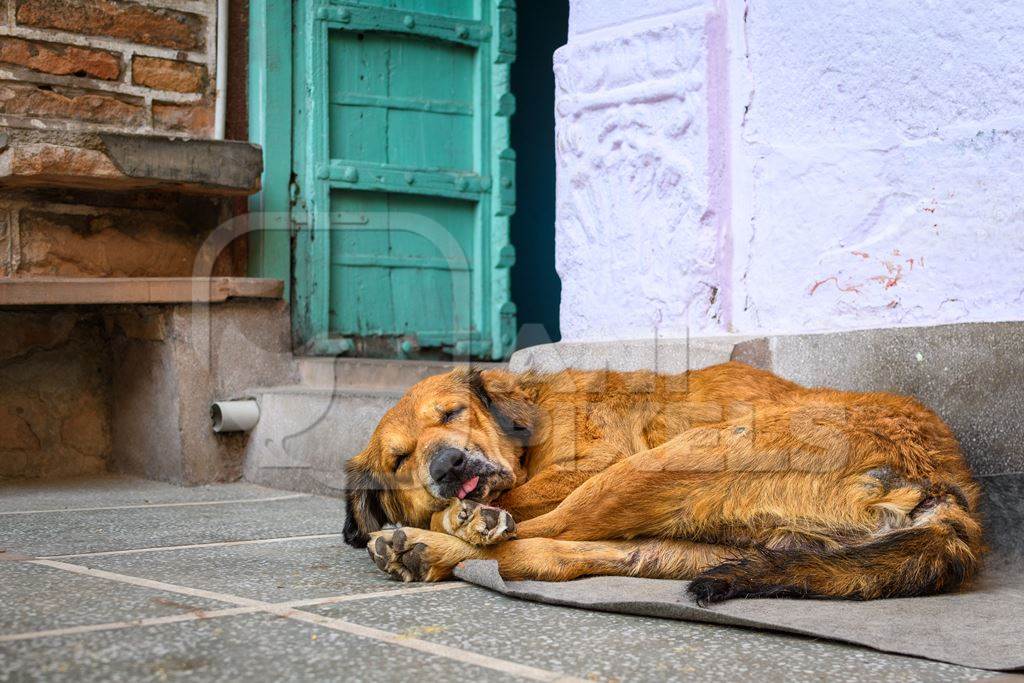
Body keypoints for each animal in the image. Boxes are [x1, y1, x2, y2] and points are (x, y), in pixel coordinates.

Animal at [344, 362, 983, 602]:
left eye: (452, 413)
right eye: (399, 460)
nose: (447, 467)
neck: (536, 412)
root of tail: (946, 493)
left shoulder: (592, 461)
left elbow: (516, 501)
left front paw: (458, 515)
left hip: (652, 465)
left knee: (532, 533)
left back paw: (449, 532)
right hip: (685, 542)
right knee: (542, 554)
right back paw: (424, 549)